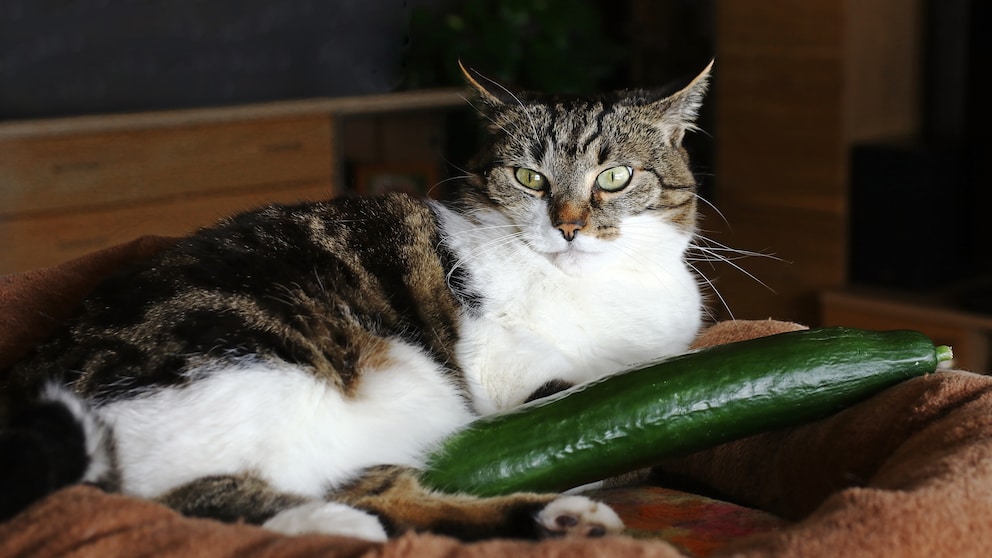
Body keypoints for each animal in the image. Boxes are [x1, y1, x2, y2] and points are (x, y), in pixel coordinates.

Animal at [0, 63, 712, 544]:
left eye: (614, 177)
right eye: (528, 178)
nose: (567, 226)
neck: (600, 286)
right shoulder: (508, 370)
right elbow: (576, 402)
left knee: (397, 501)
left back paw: (557, 520)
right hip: (259, 369)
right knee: (175, 506)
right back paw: (334, 524)